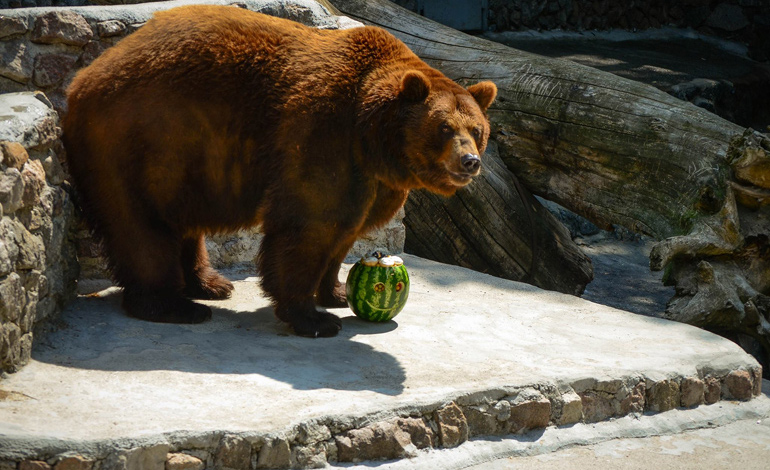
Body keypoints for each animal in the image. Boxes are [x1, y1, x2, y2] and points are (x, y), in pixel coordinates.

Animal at [62, 5, 496, 337]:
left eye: (477, 130)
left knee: (179, 222)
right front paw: (314, 319)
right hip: (135, 143)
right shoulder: (322, 131)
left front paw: (337, 293)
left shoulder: (370, 178)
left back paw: (209, 284)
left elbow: (347, 229)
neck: (371, 137)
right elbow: (308, 224)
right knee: (141, 228)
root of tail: (81, 81)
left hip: (180, 162)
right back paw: (173, 304)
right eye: (444, 128)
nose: (470, 161)